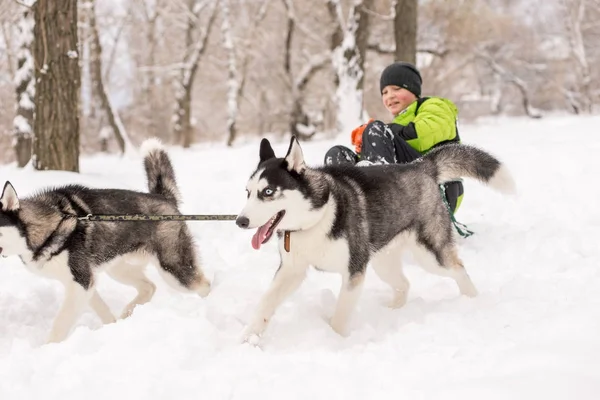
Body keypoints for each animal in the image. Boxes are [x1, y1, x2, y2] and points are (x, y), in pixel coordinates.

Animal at [0, 139, 211, 342]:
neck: (51, 224)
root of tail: (163, 197)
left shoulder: (81, 281)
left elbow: (60, 323)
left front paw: (47, 348)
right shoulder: (83, 283)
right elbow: (101, 309)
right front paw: (111, 326)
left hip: (173, 269)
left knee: (203, 285)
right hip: (118, 268)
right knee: (149, 287)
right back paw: (127, 313)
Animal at [236, 136, 516, 342]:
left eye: (268, 192)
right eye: (248, 193)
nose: (240, 221)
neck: (315, 221)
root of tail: (420, 165)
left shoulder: (354, 272)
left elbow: (340, 315)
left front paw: (334, 341)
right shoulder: (291, 270)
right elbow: (266, 303)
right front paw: (249, 338)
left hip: (431, 256)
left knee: (458, 269)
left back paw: (472, 300)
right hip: (384, 262)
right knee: (404, 283)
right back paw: (393, 310)